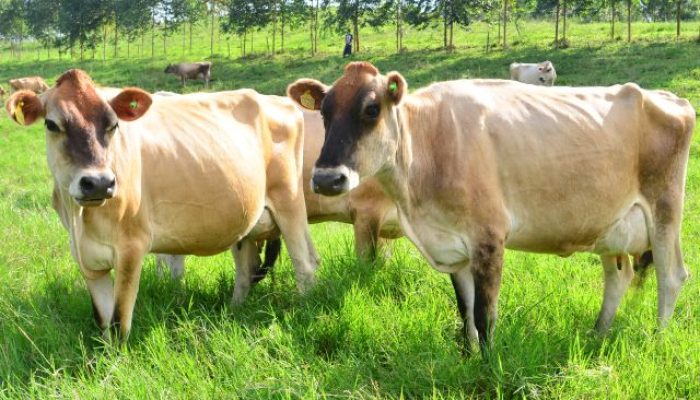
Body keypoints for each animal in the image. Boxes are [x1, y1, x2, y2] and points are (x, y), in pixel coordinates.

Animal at [6, 69, 319, 340]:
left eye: (113, 124)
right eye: (51, 124)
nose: (98, 183)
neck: (81, 219)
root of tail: (280, 100)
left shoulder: (132, 248)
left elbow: (119, 321)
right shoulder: (85, 258)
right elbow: (103, 320)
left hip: (289, 203)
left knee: (305, 264)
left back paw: (303, 311)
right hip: (246, 221)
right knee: (245, 271)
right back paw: (234, 311)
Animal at [287, 61, 695, 354]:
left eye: (372, 108)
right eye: (323, 112)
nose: (326, 179)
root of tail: (670, 98)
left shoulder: (488, 237)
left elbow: (485, 316)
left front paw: (486, 364)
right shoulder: (454, 248)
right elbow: (465, 312)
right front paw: (466, 357)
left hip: (665, 208)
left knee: (672, 275)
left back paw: (656, 339)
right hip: (610, 225)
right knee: (619, 276)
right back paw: (598, 334)